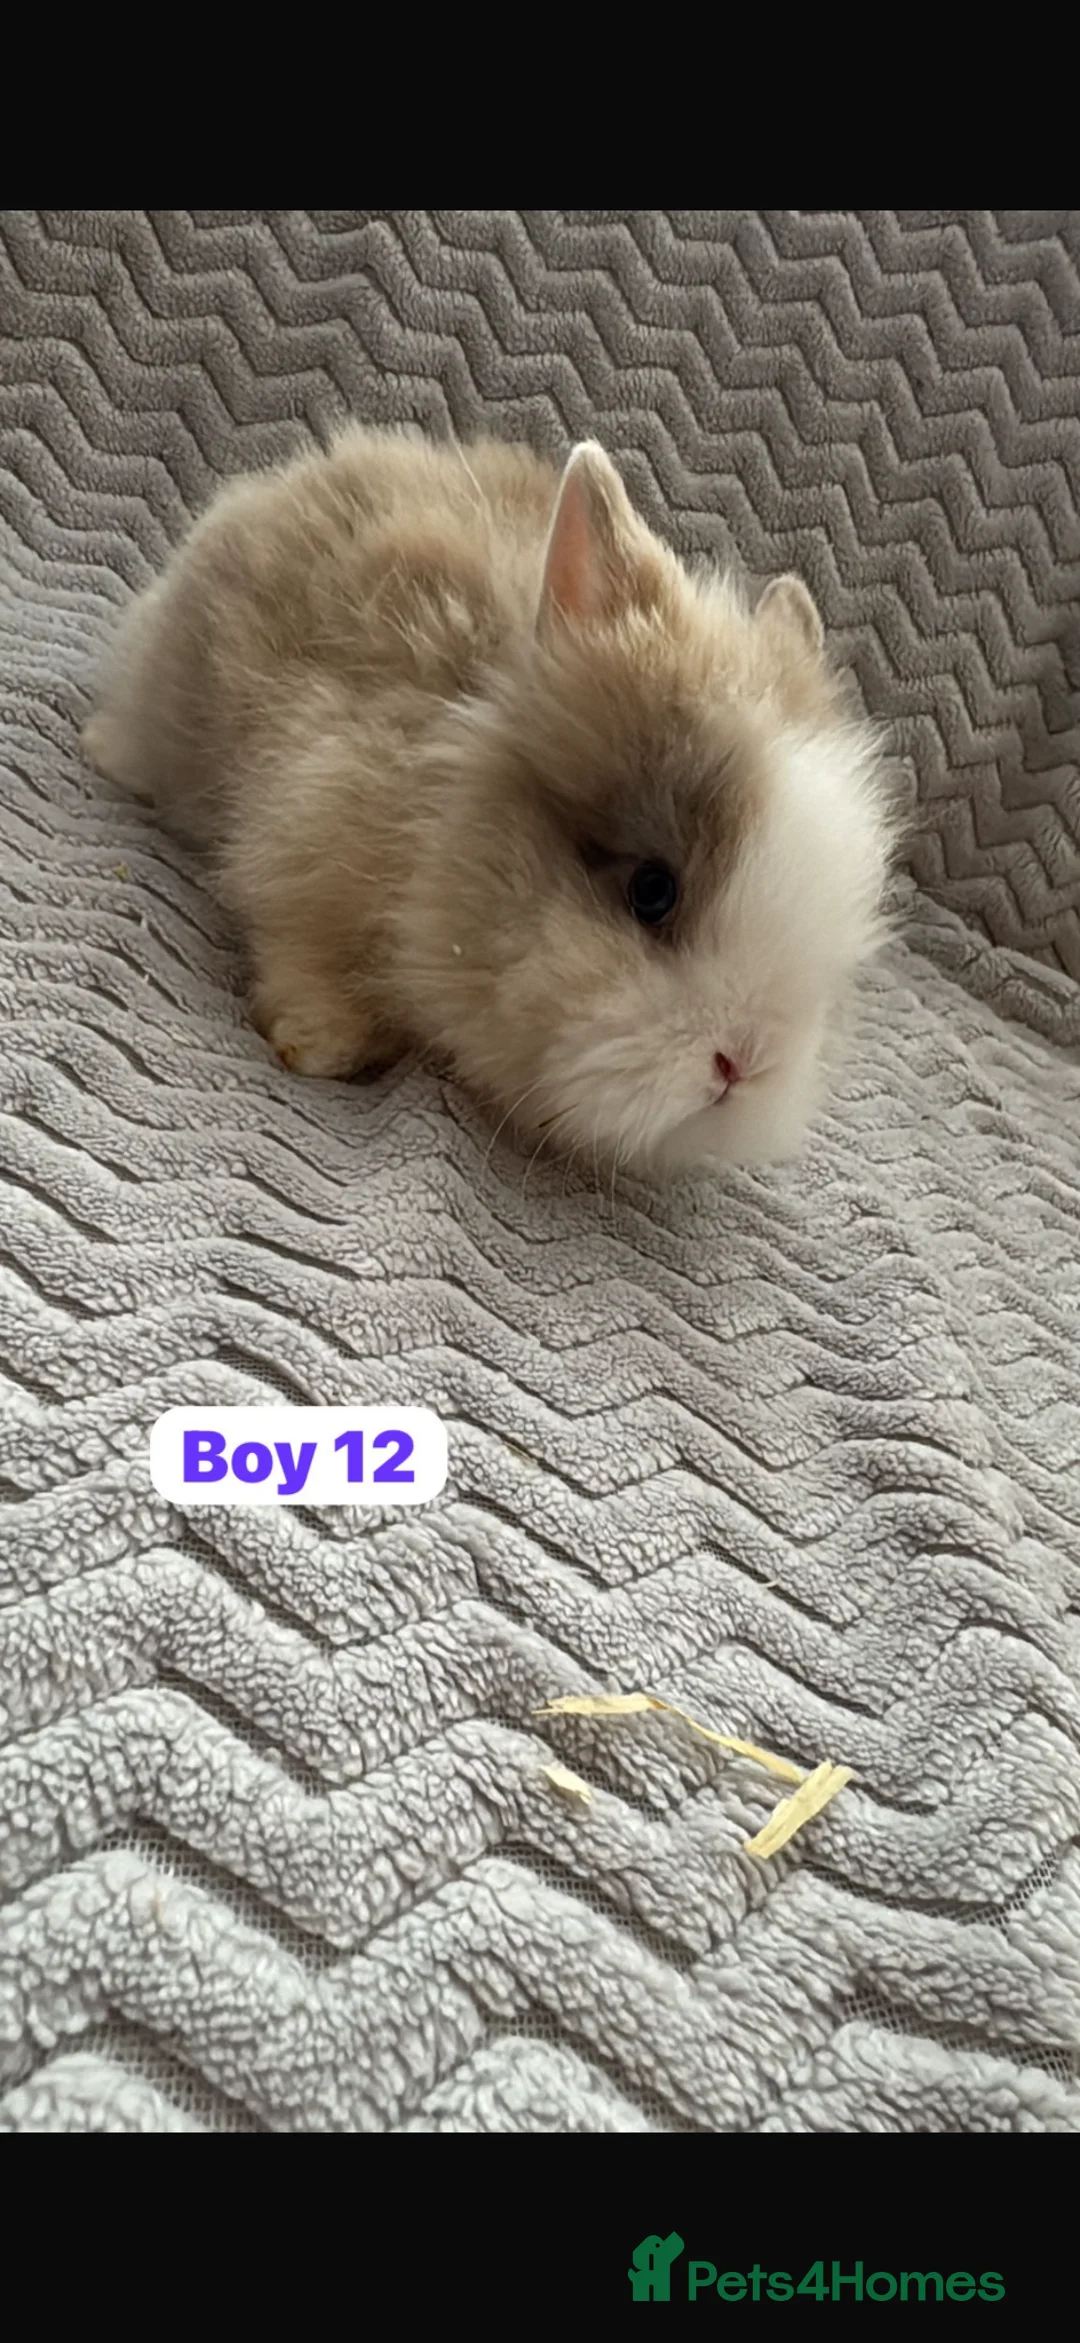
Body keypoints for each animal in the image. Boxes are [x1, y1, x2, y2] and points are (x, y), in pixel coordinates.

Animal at [81, 424, 894, 1176]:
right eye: (652, 891)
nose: (745, 1064)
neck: (444, 814)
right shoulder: (306, 824)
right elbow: (305, 946)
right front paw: (316, 1044)